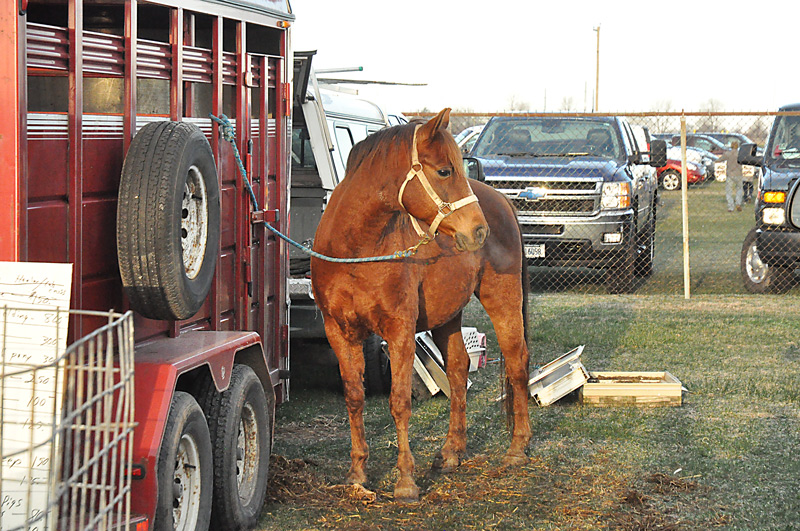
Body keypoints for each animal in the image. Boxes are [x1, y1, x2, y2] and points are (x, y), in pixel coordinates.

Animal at [310, 108, 531, 503]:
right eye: (444, 170)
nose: (479, 230)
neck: (356, 251)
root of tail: (501, 202)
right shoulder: (339, 332)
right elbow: (354, 397)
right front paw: (357, 473)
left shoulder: (400, 331)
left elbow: (399, 401)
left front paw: (405, 482)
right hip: (448, 316)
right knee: (458, 371)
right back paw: (451, 452)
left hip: (502, 300)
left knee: (518, 363)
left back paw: (517, 448)